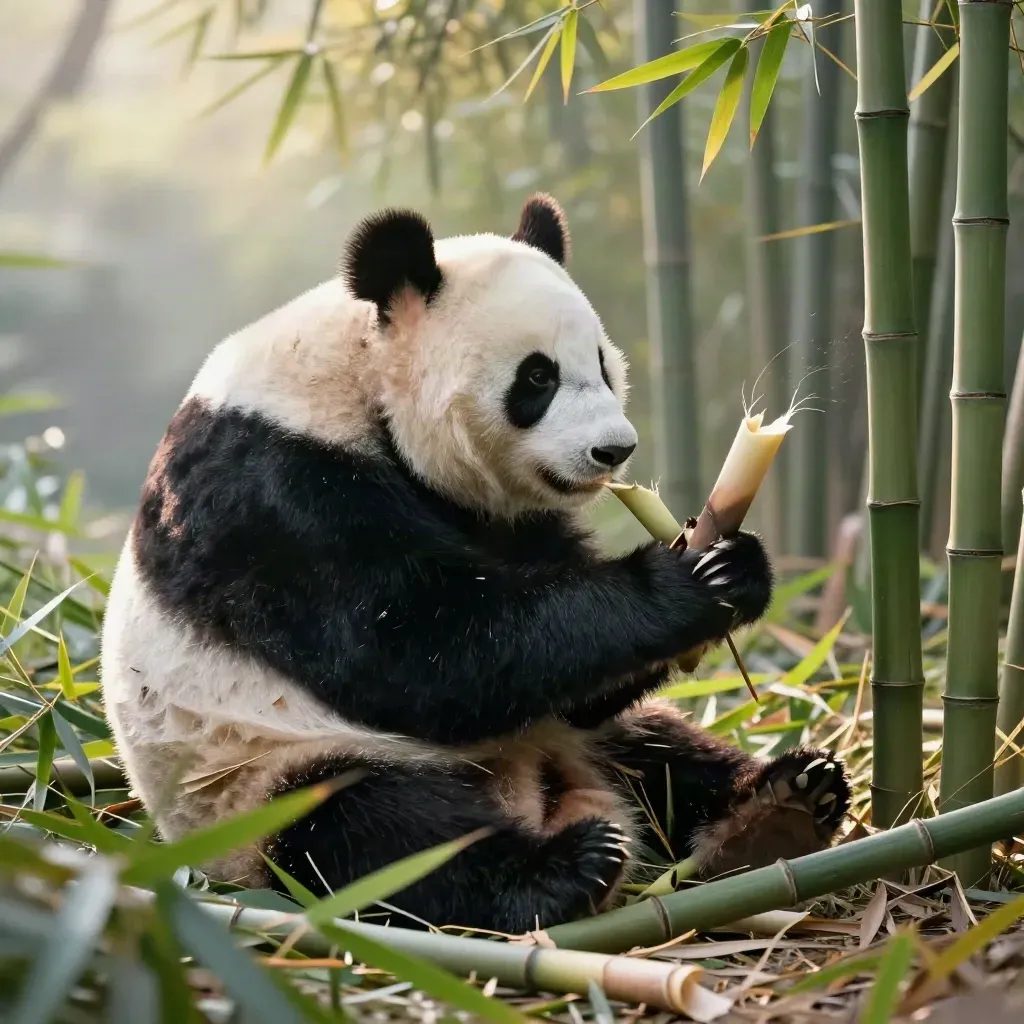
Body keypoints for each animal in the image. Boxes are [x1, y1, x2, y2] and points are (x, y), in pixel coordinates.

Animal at [100, 194, 851, 934]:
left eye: (604, 366)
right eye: (538, 376)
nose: (614, 450)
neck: (355, 376)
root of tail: (539, 791)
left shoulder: (507, 520)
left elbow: (570, 678)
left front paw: (734, 566)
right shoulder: (276, 495)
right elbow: (418, 655)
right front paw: (679, 583)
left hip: (580, 745)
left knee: (658, 749)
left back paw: (784, 805)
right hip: (256, 786)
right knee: (375, 832)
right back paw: (566, 869)